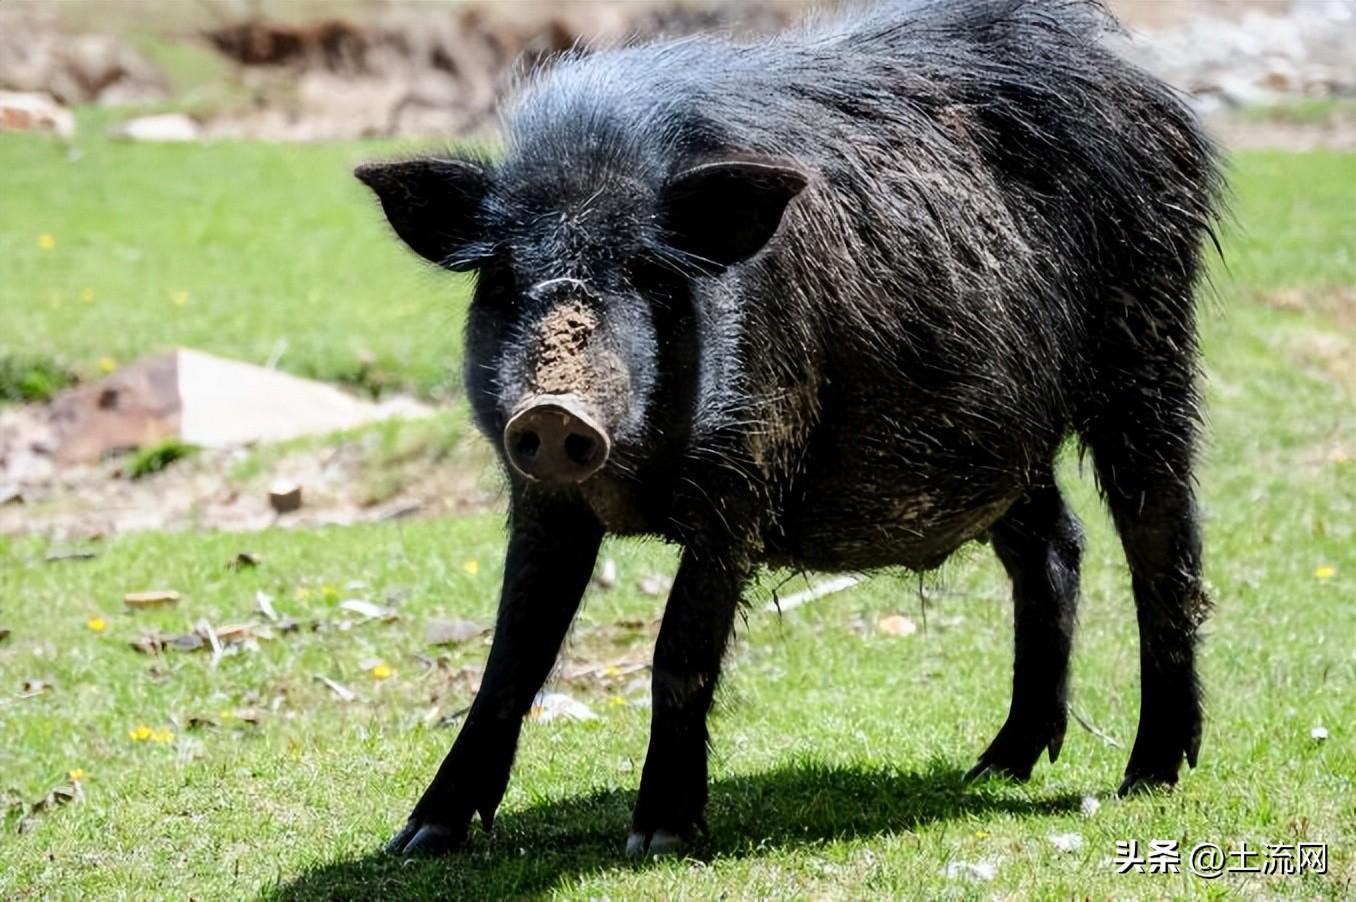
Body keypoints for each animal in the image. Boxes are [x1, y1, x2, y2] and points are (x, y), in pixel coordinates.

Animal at [357, 0, 1223, 857]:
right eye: (503, 276)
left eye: (647, 271)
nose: (552, 410)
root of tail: (1149, 92)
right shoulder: (542, 497)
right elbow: (512, 655)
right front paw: (420, 837)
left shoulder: (748, 473)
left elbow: (680, 649)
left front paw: (660, 838)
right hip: (996, 442)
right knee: (1053, 547)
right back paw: (994, 767)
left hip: (1150, 350)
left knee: (1162, 542)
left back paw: (1148, 777)